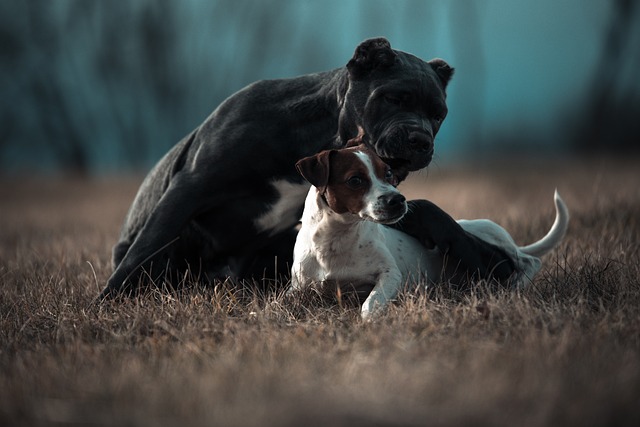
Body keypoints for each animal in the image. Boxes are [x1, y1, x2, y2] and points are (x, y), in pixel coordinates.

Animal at [100, 38, 516, 300]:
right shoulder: (191, 185)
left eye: (439, 115)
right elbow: (145, 248)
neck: (319, 130)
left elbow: (423, 208)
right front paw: (105, 305)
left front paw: (482, 253)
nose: (421, 140)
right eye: (394, 97)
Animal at [290, 145, 568, 320]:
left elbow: (372, 301)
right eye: (355, 180)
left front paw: (370, 319)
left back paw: (516, 285)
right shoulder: (299, 288)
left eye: (388, 173)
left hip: (477, 233)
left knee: (527, 260)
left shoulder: (390, 274)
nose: (398, 200)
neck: (336, 239)